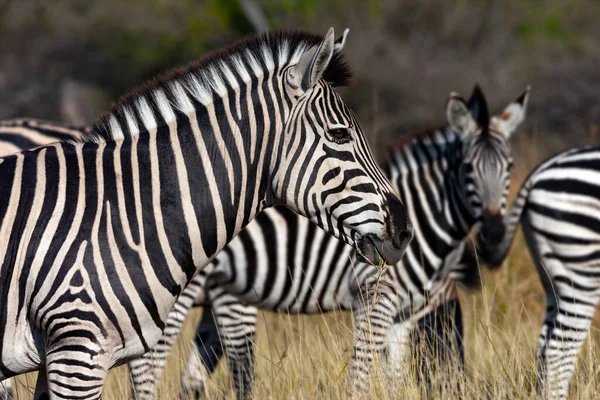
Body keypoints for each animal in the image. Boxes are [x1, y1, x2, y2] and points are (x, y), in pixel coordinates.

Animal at [127, 84, 528, 396]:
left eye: (509, 168)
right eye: (468, 169)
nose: (494, 236)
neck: (424, 209)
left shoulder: (404, 314)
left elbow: (394, 380)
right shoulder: (373, 298)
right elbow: (361, 377)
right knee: (148, 366)